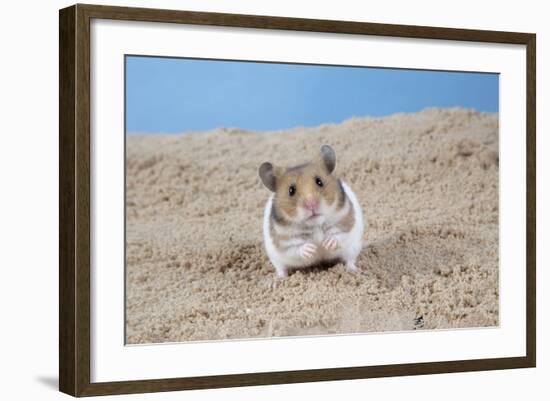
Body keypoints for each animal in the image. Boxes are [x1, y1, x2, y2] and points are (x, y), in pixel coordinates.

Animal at [260, 145, 366, 278]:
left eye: (319, 181)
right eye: (291, 190)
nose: (311, 204)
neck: (315, 225)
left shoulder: (347, 222)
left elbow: (339, 235)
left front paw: (326, 244)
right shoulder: (284, 241)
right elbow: (296, 248)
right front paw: (312, 249)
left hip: (354, 247)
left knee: (350, 260)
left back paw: (354, 270)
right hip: (276, 258)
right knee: (281, 268)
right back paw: (279, 279)